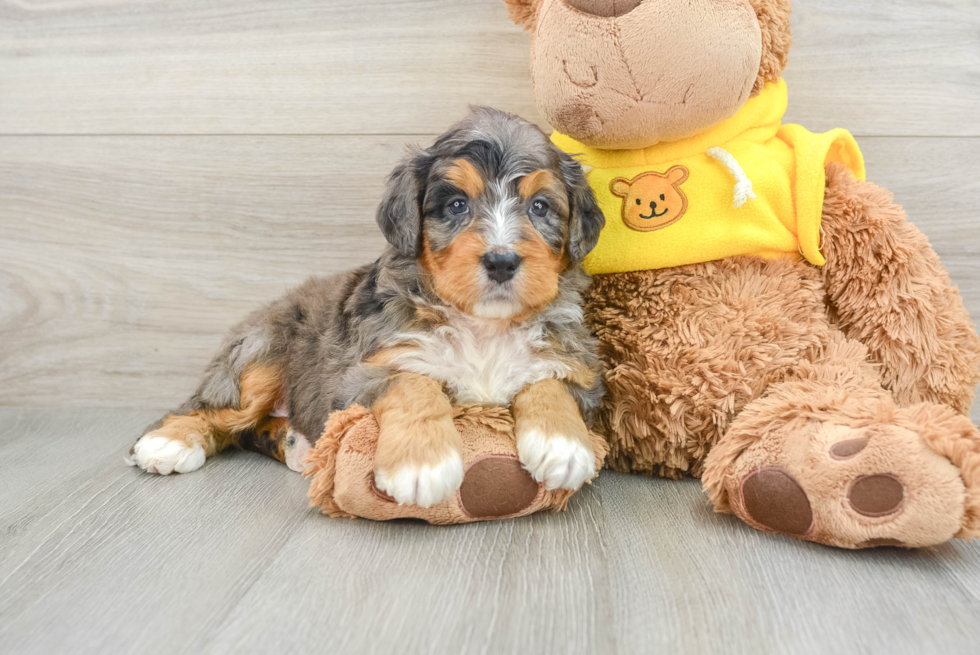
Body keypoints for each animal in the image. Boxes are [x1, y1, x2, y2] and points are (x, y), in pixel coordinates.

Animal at [127, 106, 608, 508]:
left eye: (540, 207)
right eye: (457, 205)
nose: (502, 261)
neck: (482, 325)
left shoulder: (577, 366)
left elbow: (549, 381)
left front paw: (562, 445)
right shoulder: (363, 372)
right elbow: (414, 382)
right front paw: (421, 463)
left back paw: (296, 445)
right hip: (261, 353)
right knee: (210, 408)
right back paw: (168, 443)